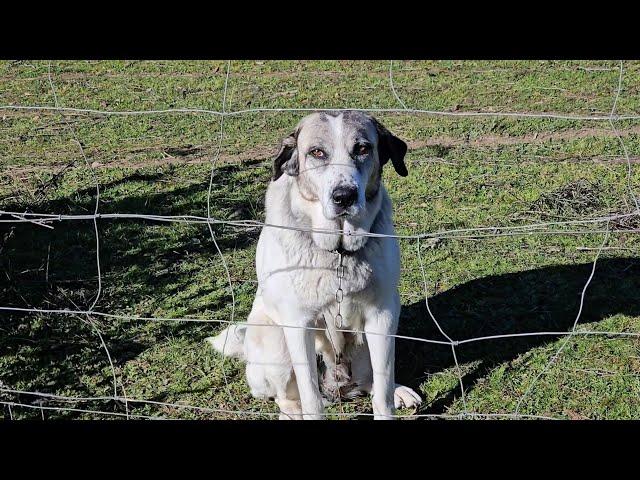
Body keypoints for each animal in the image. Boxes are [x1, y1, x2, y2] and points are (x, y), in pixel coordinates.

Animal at [208, 110, 422, 418]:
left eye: (363, 149)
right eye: (317, 152)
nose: (344, 196)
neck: (339, 253)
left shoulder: (382, 314)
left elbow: (382, 395)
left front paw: (390, 397)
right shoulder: (299, 325)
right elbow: (311, 398)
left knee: (373, 380)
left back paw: (398, 390)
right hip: (275, 341)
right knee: (286, 398)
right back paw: (292, 412)